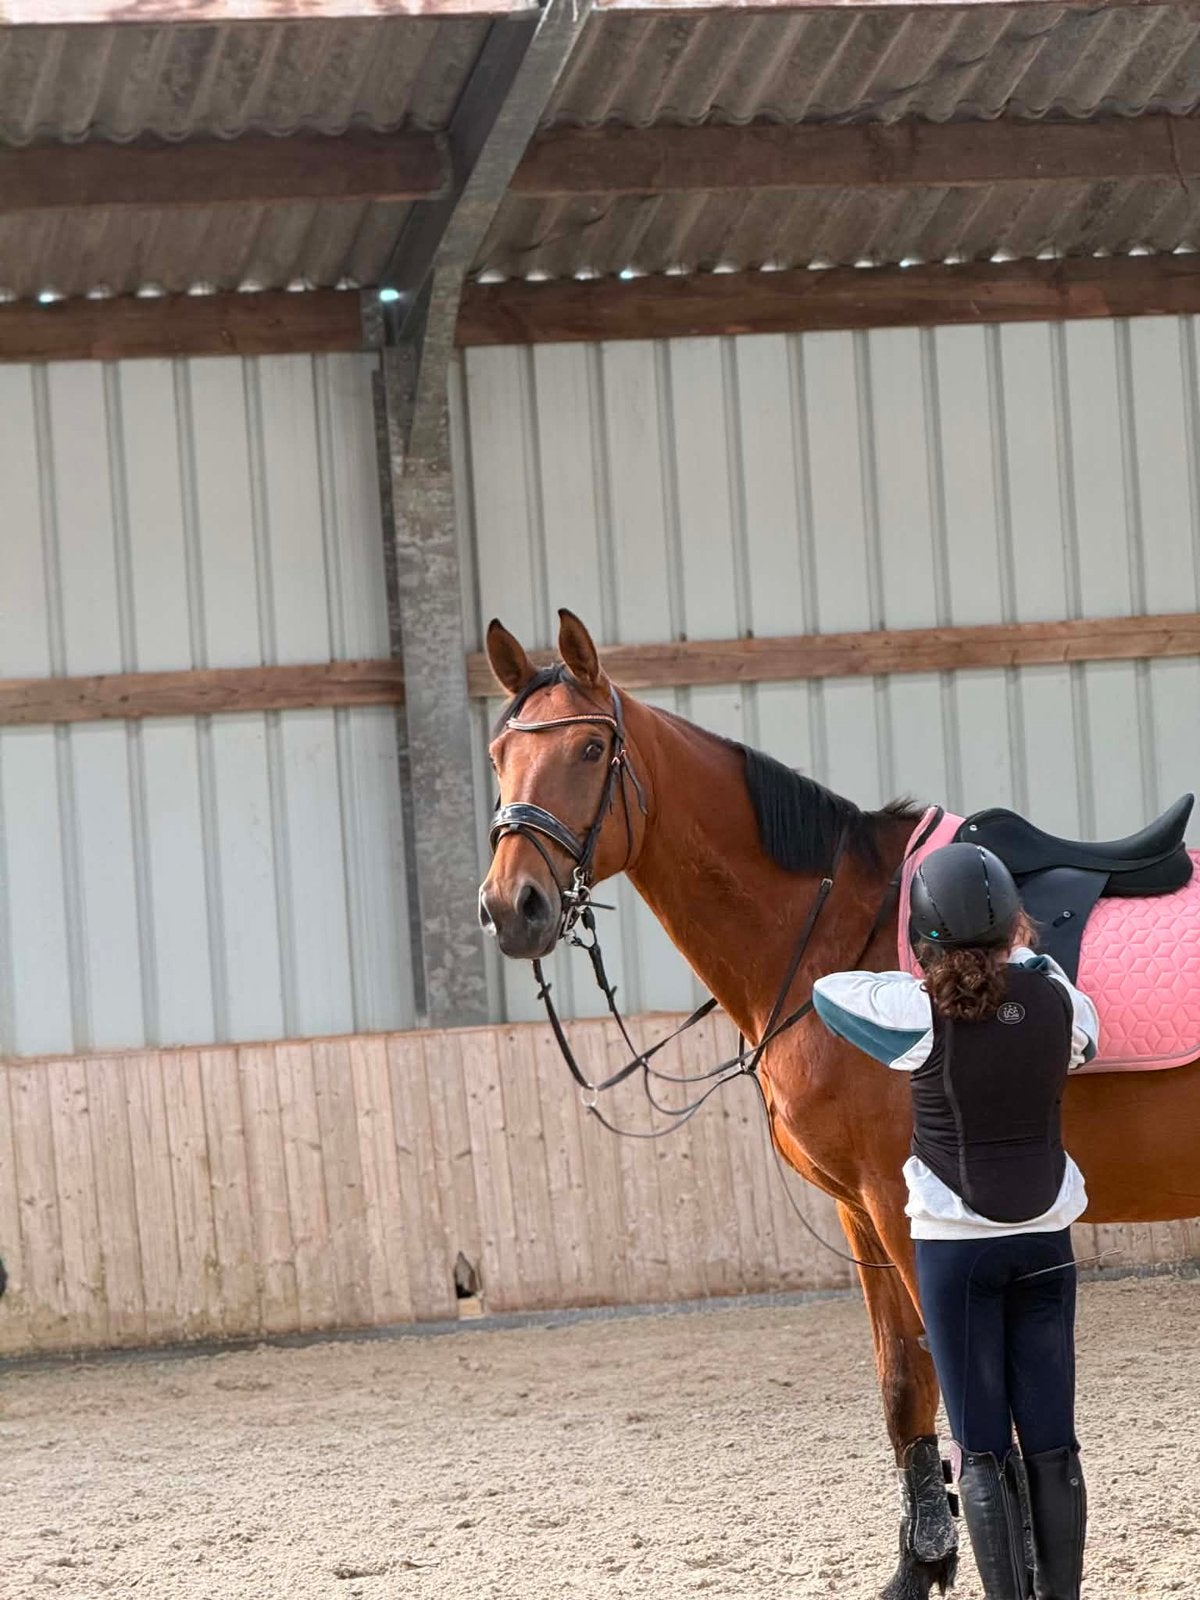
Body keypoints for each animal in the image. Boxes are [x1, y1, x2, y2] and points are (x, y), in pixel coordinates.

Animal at [478, 608, 1200, 1598]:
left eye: (590, 748)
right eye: (498, 754)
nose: (513, 907)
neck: (832, 934)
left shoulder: (908, 1209)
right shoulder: (863, 1212)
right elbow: (903, 1387)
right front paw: (919, 1565)